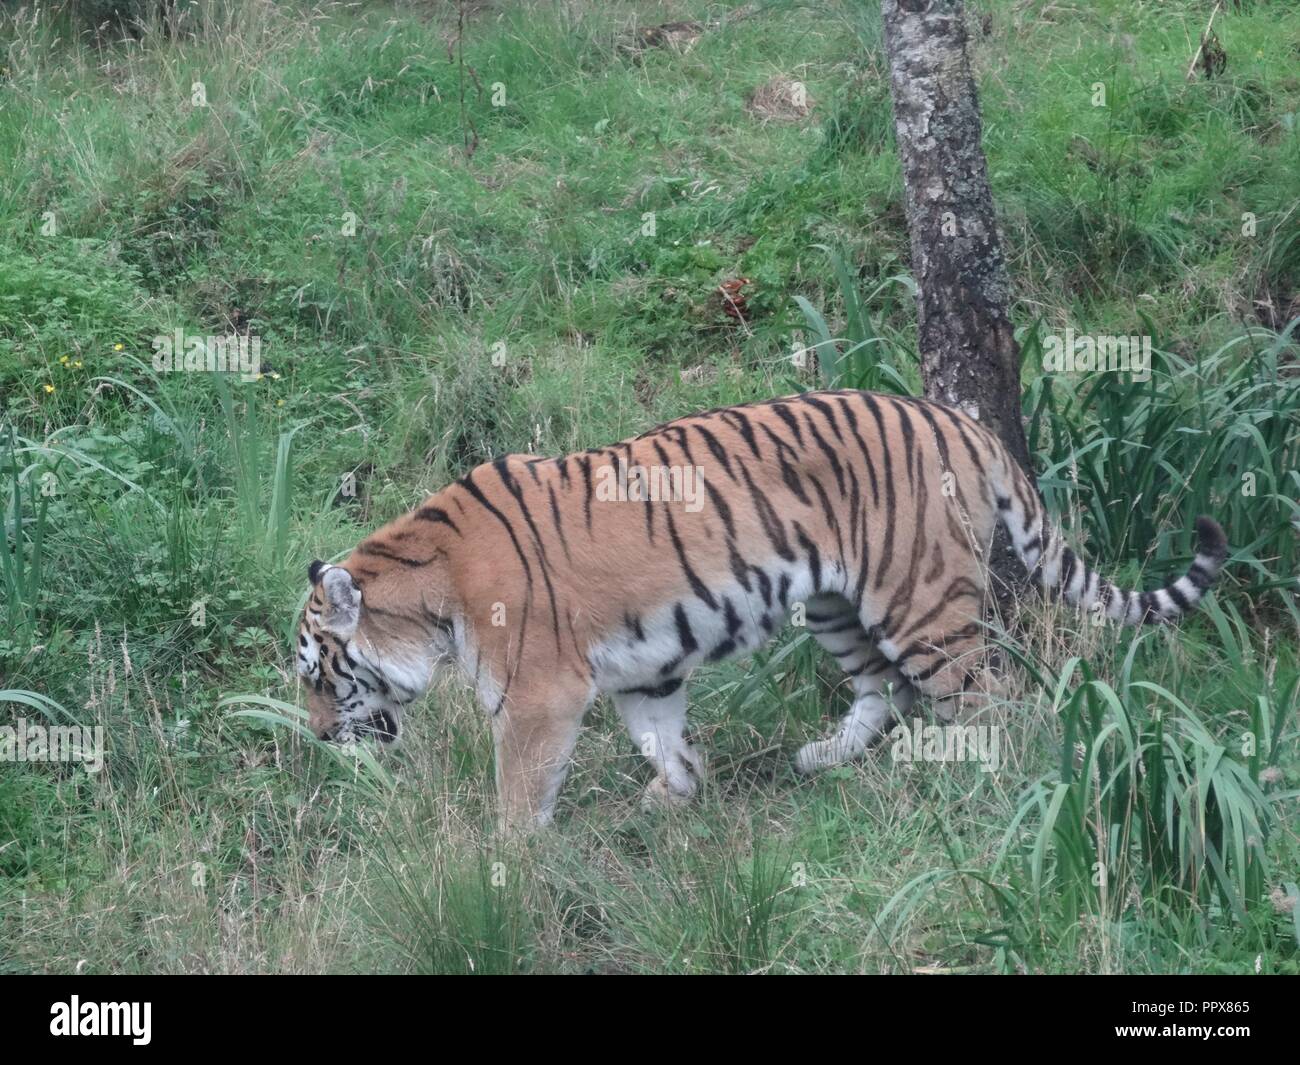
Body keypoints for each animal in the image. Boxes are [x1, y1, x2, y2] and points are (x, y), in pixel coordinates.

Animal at [295, 387, 1227, 827]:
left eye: (318, 675)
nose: (316, 739)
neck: (427, 592)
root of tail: (962, 421)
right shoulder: (644, 672)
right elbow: (660, 739)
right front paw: (676, 796)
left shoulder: (537, 698)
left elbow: (520, 792)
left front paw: (507, 862)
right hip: (835, 604)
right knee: (881, 691)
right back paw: (823, 758)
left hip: (919, 602)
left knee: (995, 698)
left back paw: (995, 783)